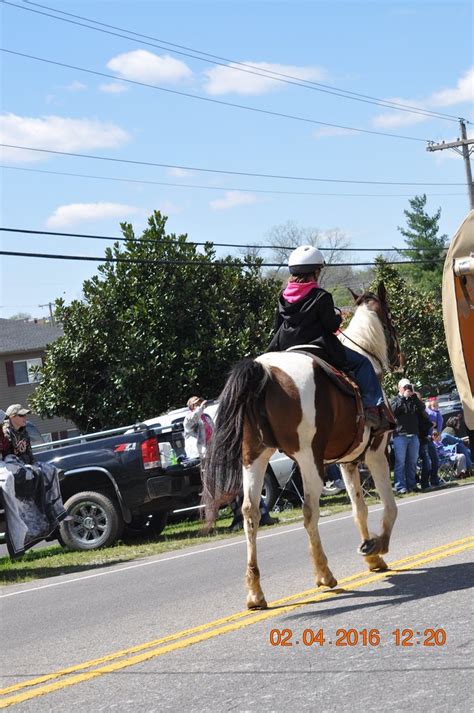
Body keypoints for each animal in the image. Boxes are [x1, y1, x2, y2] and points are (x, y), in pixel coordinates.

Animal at [203, 280, 404, 608]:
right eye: (390, 319)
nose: (399, 358)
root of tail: (264, 372)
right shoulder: (375, 453)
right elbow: (389, 505)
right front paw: (378, 546)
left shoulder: (347, 462)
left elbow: (358, 508)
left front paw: (371, 556)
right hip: (309, 461)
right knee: (309, 511)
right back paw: (324, 575)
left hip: (254, 457)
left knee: (250, 513)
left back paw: (255, 593)